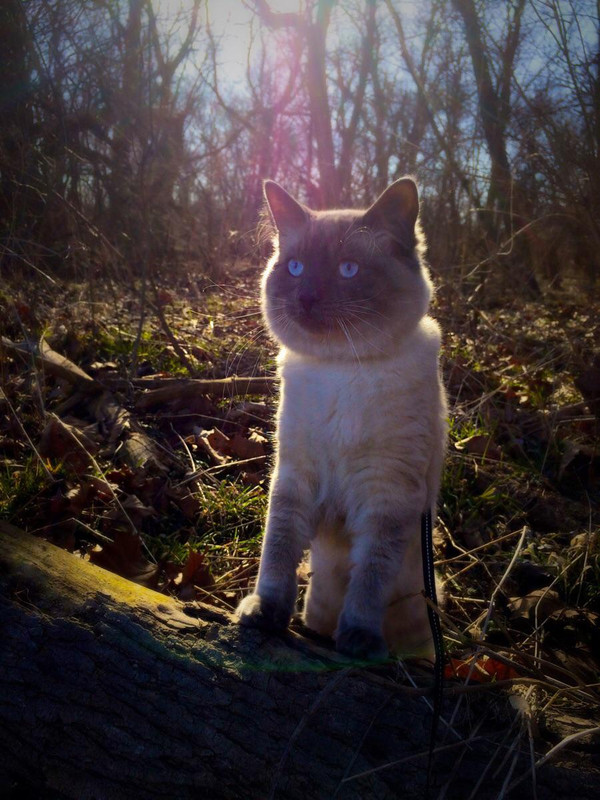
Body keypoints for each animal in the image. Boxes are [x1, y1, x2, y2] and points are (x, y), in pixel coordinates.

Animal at [236, 178, 447, 660]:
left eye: (348, 270)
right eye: (295, 268)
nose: (306, 298)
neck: (342, 369)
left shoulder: (387, 492)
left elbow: (369, 577)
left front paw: (358, 639)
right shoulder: (295, 476)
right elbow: (277, 550)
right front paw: (264, 613)